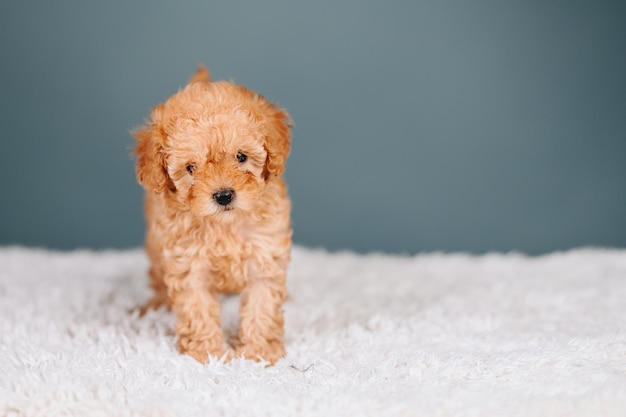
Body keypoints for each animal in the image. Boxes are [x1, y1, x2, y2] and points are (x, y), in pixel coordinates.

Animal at [133, 66, 292, 362]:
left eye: (241, 157)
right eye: (191, 168)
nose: (223, 195)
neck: (224, 226)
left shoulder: (265, 252)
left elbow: (262, 306)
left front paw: (259, 352)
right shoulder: (188, 263)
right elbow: (198, 310)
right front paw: (209, 354)